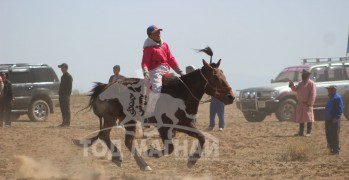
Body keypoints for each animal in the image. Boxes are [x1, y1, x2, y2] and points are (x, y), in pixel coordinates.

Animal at [75, 58, 235, 170]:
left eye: (224, 75)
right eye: (215, 77)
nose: (231, 97)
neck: (180, 93)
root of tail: (104, 87)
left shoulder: (184, 124)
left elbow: (201, 137)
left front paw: (192, 160)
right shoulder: (164, 127)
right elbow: (170, 148)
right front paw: (151, 152)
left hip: (116, 119)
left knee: (109, 136)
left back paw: (126, 160)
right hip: (122, 119)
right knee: (120, 139)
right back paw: (137, 162)